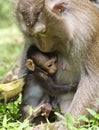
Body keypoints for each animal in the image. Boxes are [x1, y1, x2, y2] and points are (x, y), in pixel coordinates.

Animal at [4, 0, 99, 129]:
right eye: (32, 34)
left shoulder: (87, 34)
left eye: (43, 32)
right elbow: (26, 58)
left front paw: (65, 124)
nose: (42, 46)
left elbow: (92, 79)